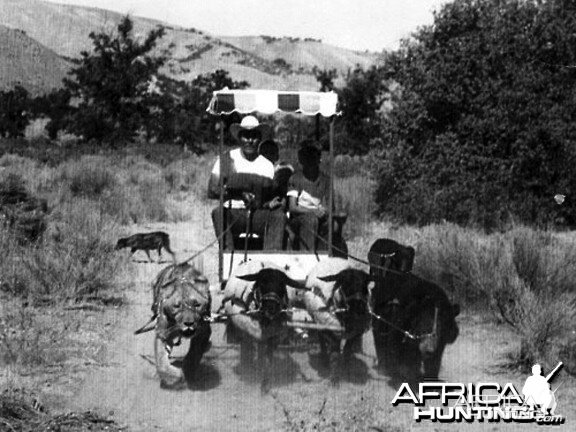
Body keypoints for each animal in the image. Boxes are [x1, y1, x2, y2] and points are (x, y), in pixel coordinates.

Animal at [151, 262, 212, 390]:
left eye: (197, 305)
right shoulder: (162, 333)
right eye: (177, 306)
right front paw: (175, 377)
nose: (189, 323)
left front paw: (188, 370)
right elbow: (161, 361)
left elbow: (195, 353)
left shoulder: (203, 332)